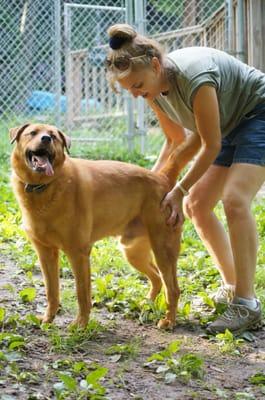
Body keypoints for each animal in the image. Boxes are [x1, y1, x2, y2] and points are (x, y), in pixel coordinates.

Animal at [9, 122, 197, 328]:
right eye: (32, 133)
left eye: (54, 136)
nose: (46, 139)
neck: (44, 188)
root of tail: (162, 177)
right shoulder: (45, 253)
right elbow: (52, 292)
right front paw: (47, 320)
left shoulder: (78, 253)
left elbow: (82, 294)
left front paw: (81, 324)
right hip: (133, 253)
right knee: (156, 278)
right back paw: (147, 304)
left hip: (163, 251)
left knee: (173, 289)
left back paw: (168, 321)